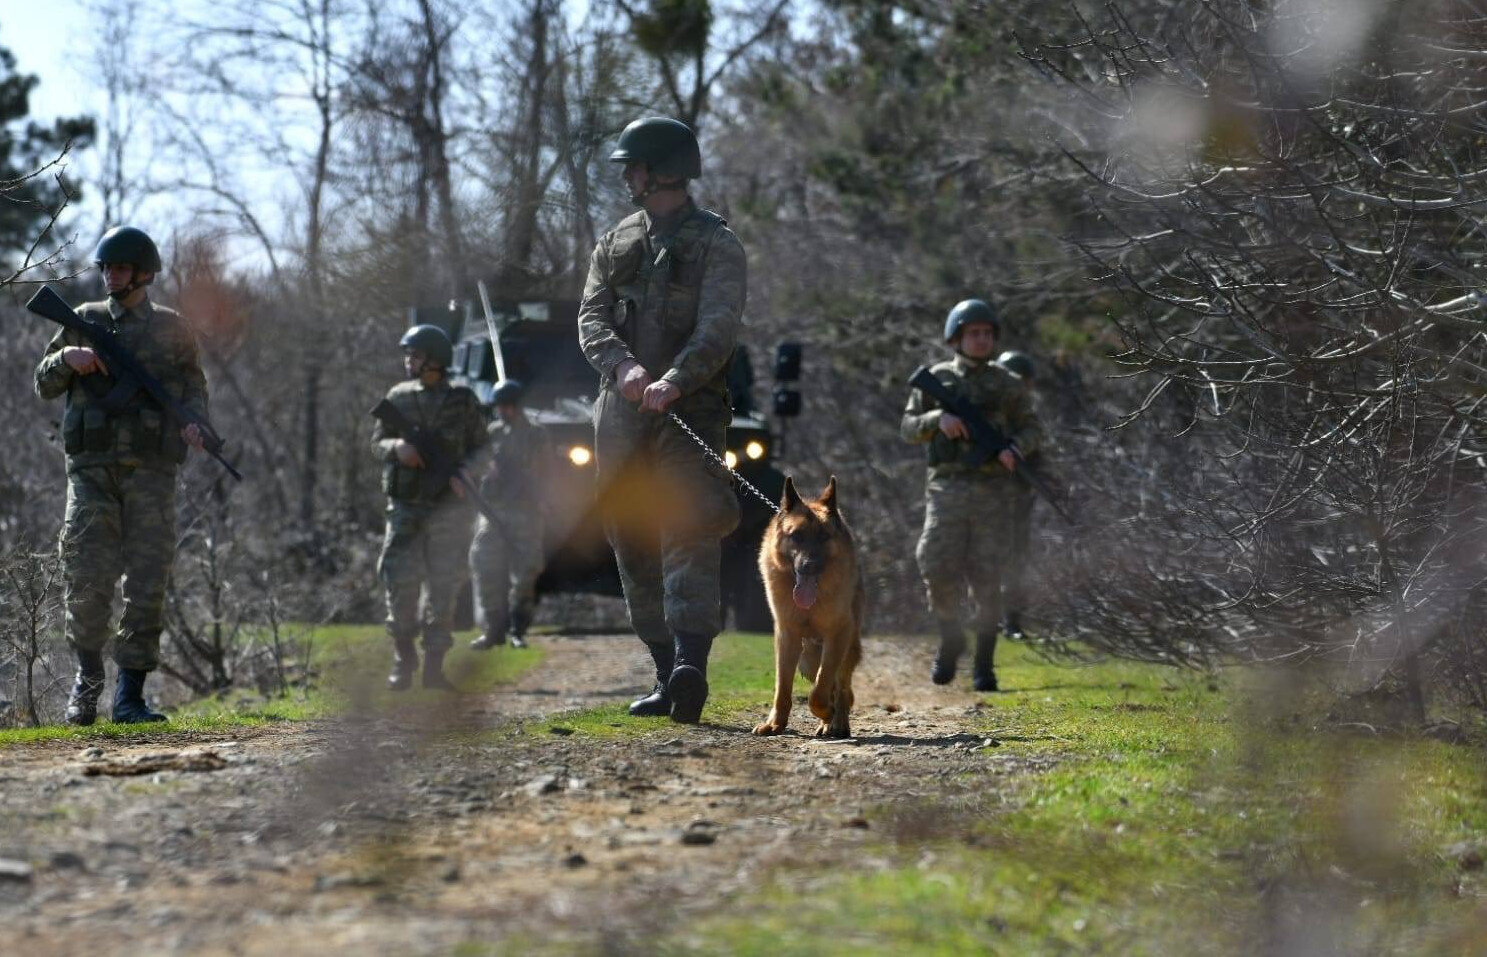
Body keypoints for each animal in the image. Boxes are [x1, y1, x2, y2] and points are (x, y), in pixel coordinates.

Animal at [749, 478, 868, 740]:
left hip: (845, 648)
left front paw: (828, 713)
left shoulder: (837, 635)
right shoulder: (787, 637)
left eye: (824, 536)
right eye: (796, 536)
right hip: (808, 658)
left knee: (841, 688)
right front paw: (775, 724)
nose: (809, 565)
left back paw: (837, 722)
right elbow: (782, 687)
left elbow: (820, 690)